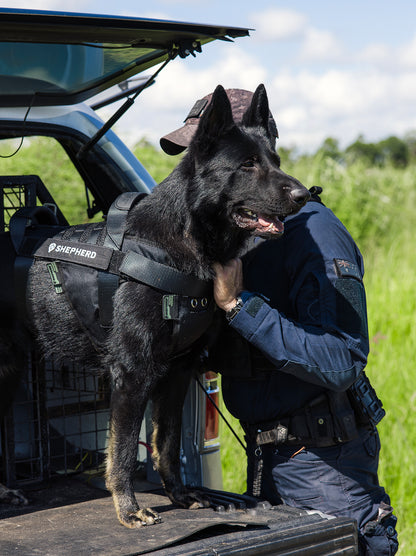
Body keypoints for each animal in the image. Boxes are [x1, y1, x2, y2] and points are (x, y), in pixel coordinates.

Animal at [0, 84, 308, 528]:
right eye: (248, 165)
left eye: (276, 162)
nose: (305, 194)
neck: (181, 241)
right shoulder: (132, 373)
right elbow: (126, 448)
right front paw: (128, 508)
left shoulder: (178, 373)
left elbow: (167, 443)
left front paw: (179, 495)